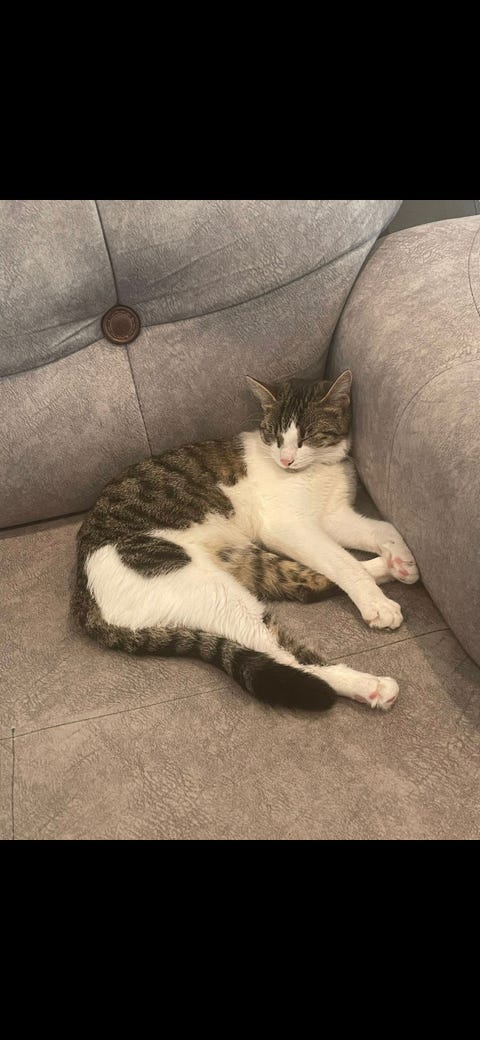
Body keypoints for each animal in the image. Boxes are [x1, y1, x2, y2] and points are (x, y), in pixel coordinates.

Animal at [73, 370, 419, 712]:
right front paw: (377, 604)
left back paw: (391, 569)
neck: (320, 466)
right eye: (275, 436)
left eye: (306, 436)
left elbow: (385, 529)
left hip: (238, 557)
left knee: (305, 582)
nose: (286, 460)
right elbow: (344, 564)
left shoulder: (332, 516)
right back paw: (370, 686)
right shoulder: (288, 525)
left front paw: (402, 559)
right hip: (208, 588)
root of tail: (82, 600)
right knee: (280, 651)